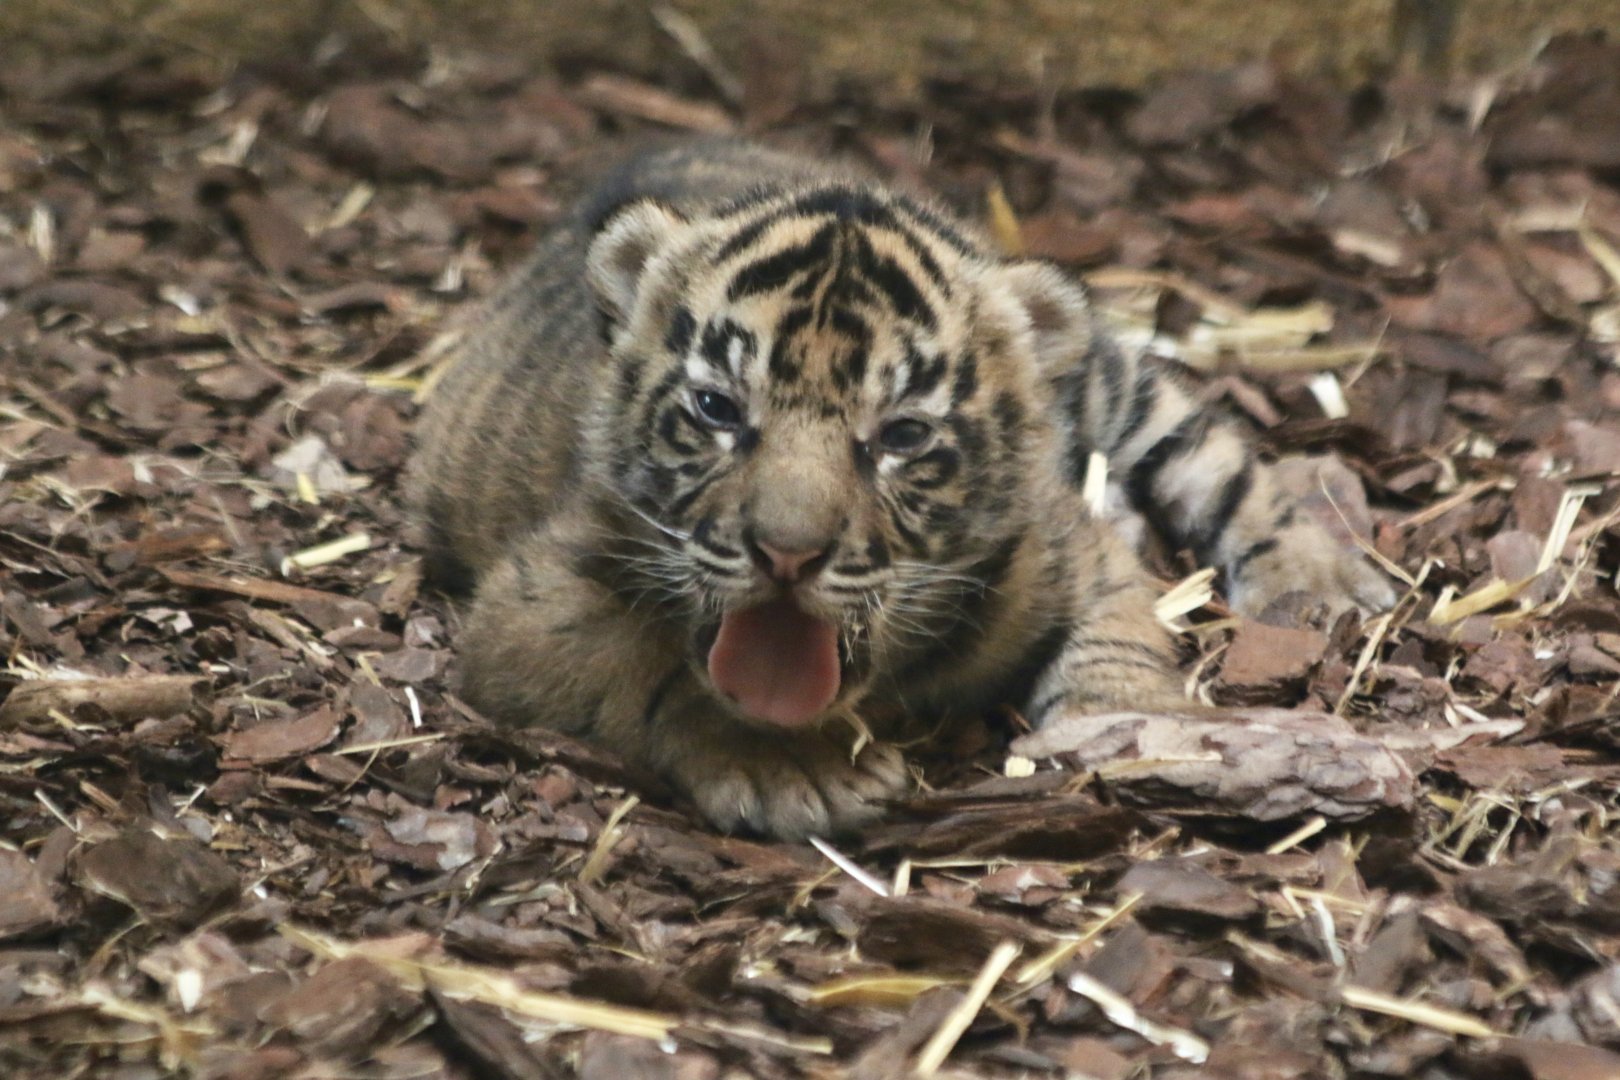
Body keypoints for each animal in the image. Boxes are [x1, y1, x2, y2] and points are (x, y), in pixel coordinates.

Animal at [407, 139, 1394, 840]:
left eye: (903, 436)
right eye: (718, 408)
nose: (786, 554)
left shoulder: (1074, 553)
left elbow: (1122, 640)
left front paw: (1137, 727)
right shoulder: (529, 610)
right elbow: (655, 666)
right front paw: (794, 766)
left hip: (1110, 384)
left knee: (1209, 447)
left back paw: (1318, 581)